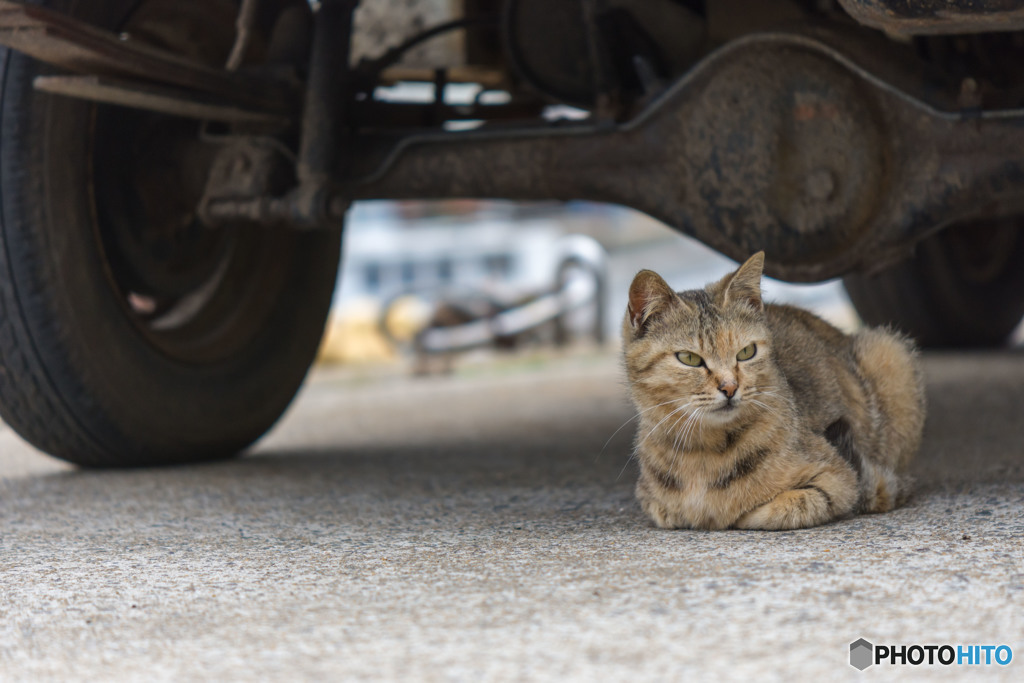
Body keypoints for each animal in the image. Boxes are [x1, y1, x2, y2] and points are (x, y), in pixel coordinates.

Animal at [618, 253, 925, 532]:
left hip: (888, 351)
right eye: (689, 358)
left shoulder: (840, 480)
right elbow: (668, 511)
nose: (730, 387)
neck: (702, 450)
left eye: (746, 352)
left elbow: (777, 508)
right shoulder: (652, 502)